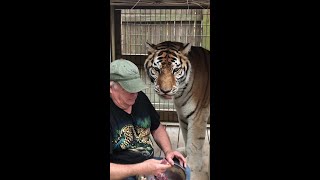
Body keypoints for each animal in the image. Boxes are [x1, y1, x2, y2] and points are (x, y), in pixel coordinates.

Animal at [144, 40, 210, 177]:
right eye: (156, 70)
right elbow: (186, 135)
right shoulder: (184, 115)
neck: (181, 93)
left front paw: (192, 164)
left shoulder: (198, 115)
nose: (165, 90)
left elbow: (194, 140)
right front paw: (184, 152)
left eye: (176, 70)